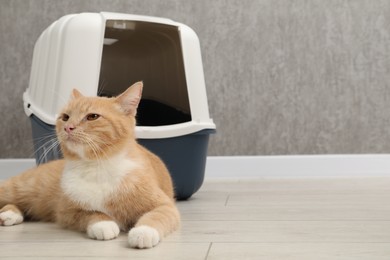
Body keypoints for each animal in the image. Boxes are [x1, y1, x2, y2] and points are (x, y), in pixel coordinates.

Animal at [0, 82, 180, 249]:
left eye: (93, 116)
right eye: (65, 117)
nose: (68, 127)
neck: (96, 167)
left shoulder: (165, 205)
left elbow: (157, 215)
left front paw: (143, 232)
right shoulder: (66, 212)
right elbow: (92, 213)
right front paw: (103, 224)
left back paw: (10, 214)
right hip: (18, 188)